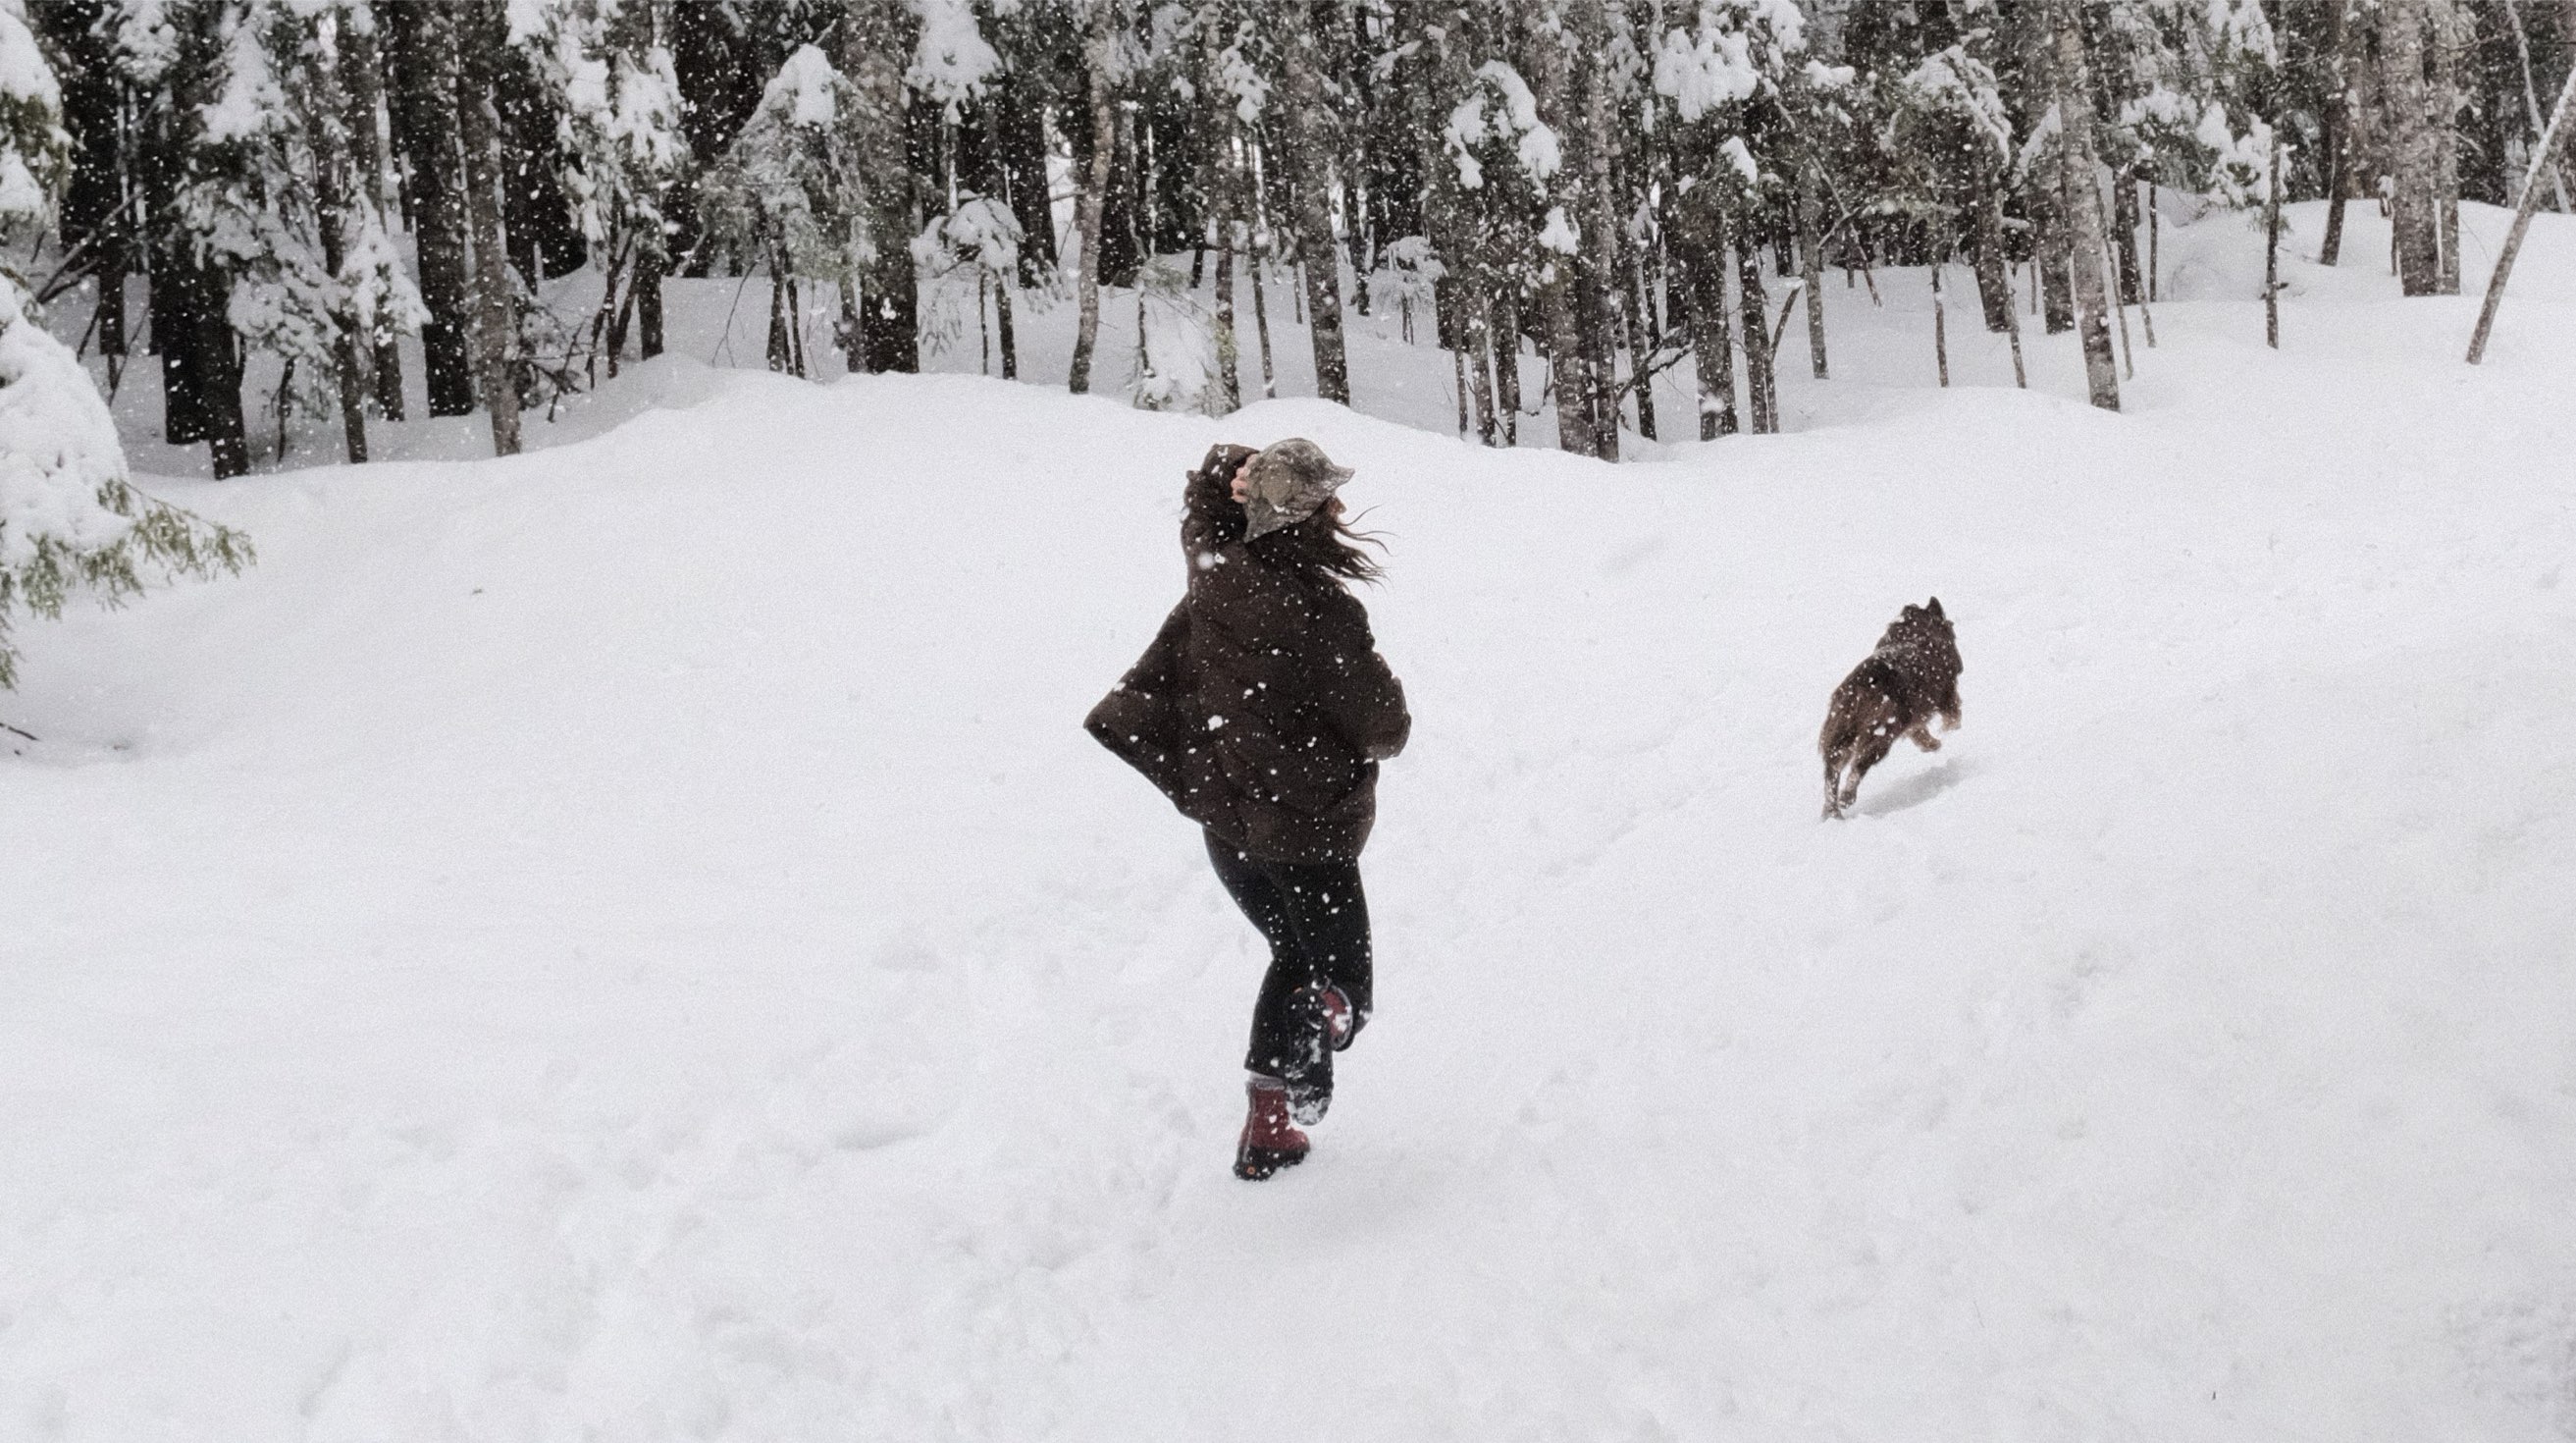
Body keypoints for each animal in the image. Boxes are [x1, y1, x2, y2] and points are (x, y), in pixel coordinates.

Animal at [1823, 600, 1958, 825]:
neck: (1914, 633)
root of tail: (1862, 685)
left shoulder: (1912, 718)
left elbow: (1919, 732)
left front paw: (1932, 744)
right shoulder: (1946, 693)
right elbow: (1953, 715)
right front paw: (1945, 733)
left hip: (1841, 731)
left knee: (1832, 773)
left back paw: (1831, 811)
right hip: (1882, 732)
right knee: (1858, 766)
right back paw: (1847, 798)